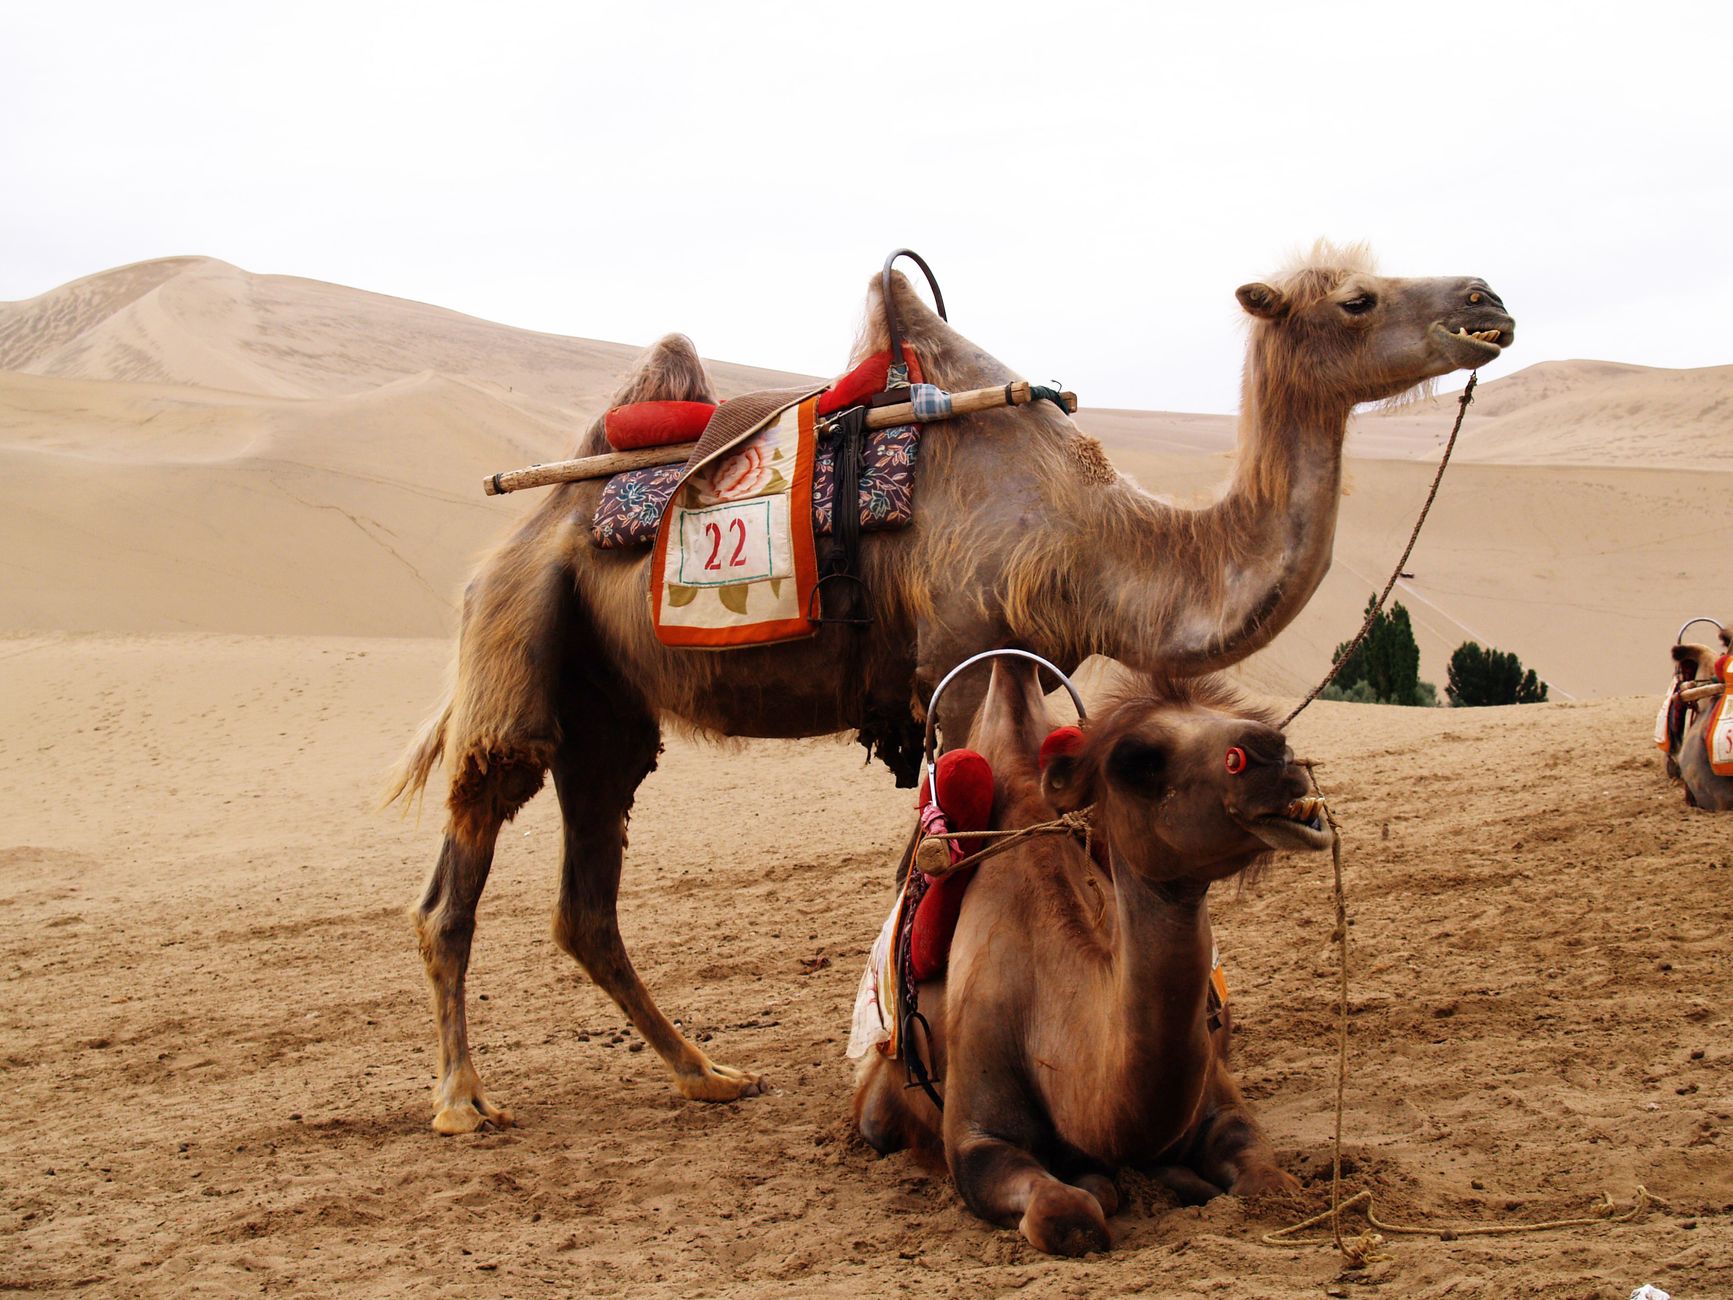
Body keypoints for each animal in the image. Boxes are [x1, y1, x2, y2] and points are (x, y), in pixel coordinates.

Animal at [388, 245, 1515, 1134]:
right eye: (1356, 300)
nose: (1486, 299)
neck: (1090, 539)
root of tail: (519, 531)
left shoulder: (1026, 660)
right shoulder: (960, 654)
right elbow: (955, 845)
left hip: (606, 706)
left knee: (586, 901)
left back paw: (707, 1074)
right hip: (520, 633)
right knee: (459, 876)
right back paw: (462, 1100)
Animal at [853, 659, 1331, 1255]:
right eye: (1137, 761)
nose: (1274, 756)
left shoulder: (1220, 1099)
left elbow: (1268, 1181)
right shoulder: (974, 1133)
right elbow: (1070, 1212)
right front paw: (1103, 1185)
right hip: (879, 1106)